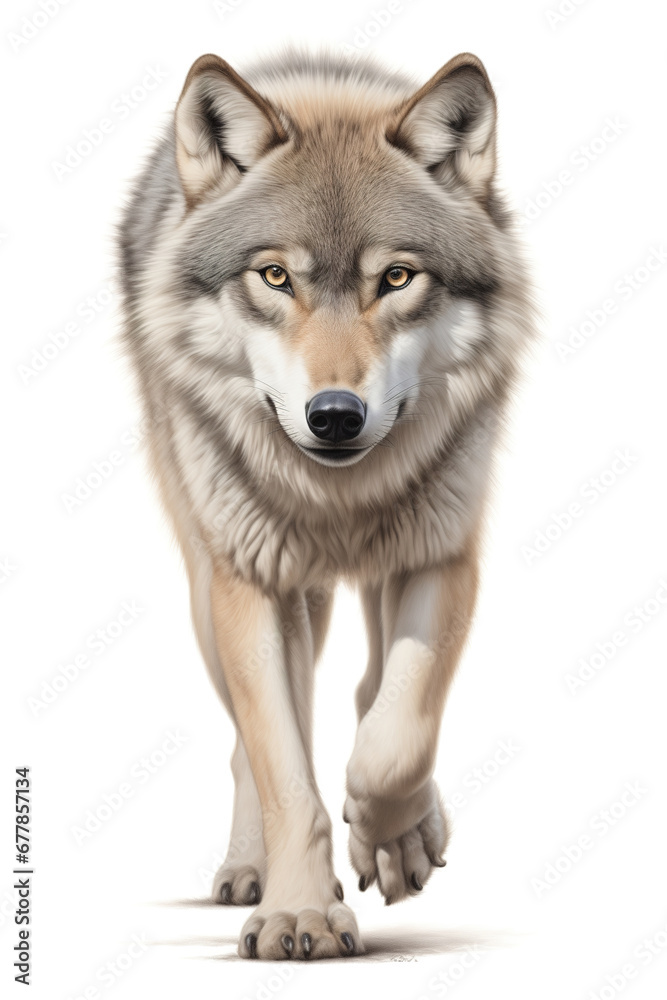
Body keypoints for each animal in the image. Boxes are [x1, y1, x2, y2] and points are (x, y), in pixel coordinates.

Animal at [117, 49, 533, 960]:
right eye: (275, 276)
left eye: (396, 277)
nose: (335, 415)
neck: (338, 503)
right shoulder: (249, 586)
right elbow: (282, 764)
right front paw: (299, 914)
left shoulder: (442, 554)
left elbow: (395, 735)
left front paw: (390, 838)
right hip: (213, 589)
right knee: (259, 741)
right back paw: (250, 872)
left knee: (369, 687)